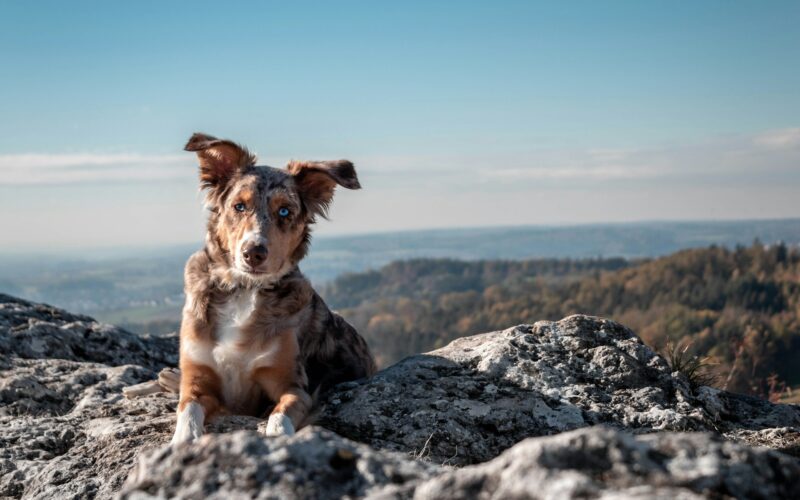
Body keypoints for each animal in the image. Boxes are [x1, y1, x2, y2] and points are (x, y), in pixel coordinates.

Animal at [171, 133, 376, 446]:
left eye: (284, 211)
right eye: (239, 206)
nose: (253, 253)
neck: (243, 290)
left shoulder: (293, 386)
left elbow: (279, 417)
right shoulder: (197, 380)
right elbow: (188, 413)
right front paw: (181, 442)